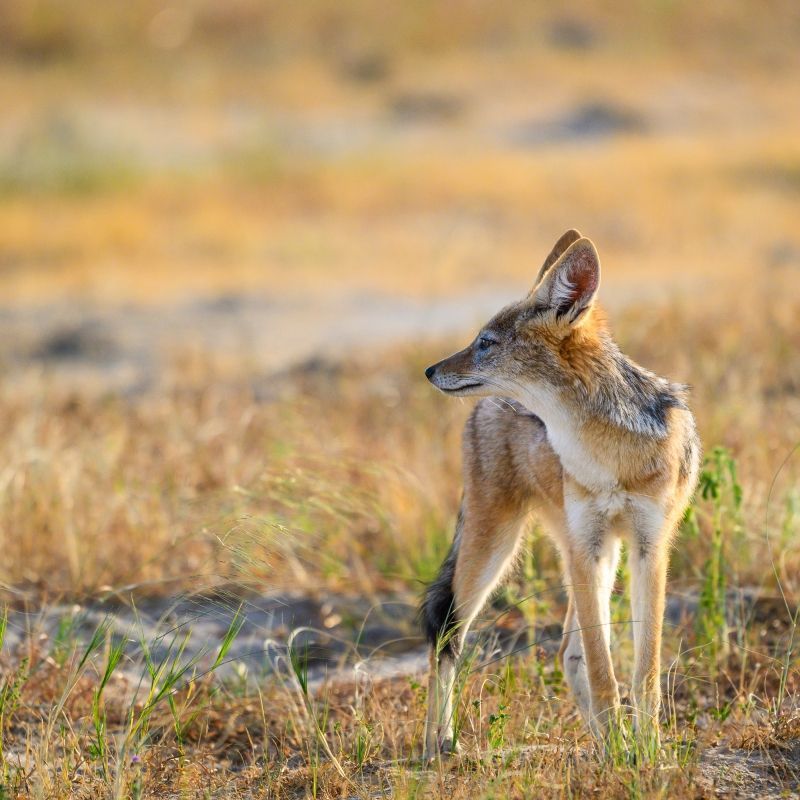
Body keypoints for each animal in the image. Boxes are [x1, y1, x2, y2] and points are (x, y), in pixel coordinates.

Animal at [420, 230, 700, 759]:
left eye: (485, 343)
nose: (429, 370)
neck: (609, 459)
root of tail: (484, 408)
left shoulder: (649, 549)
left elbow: (644, 672)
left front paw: (646, 750)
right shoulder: (587, 549)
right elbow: (604, 671)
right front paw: (625, 751)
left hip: (593, 554)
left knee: (569, 652)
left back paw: (605, 743)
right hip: (498, 550)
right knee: (447, 638)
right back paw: (436, 744)